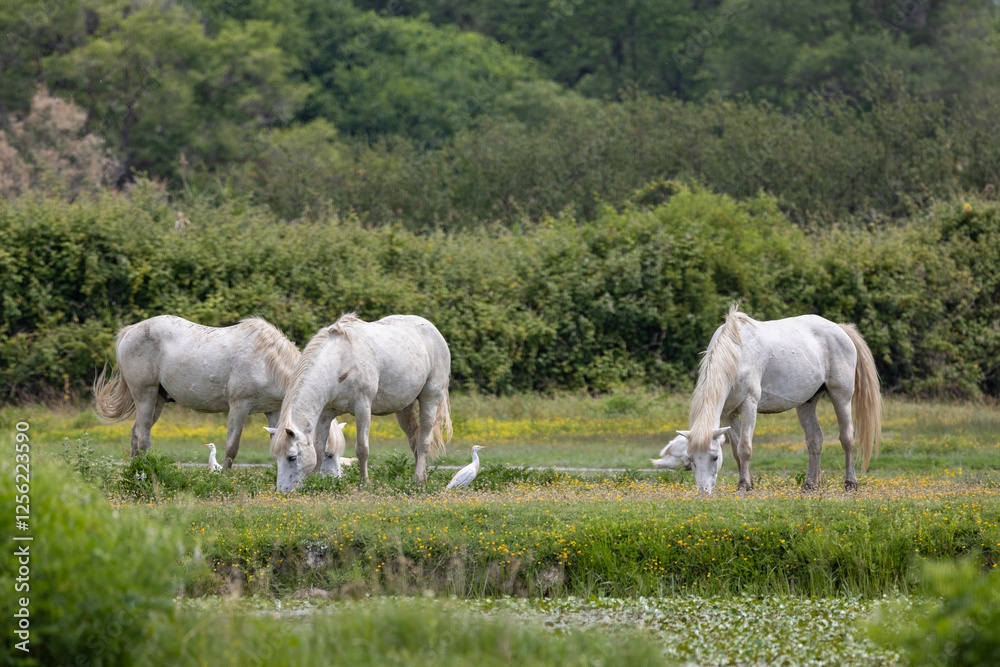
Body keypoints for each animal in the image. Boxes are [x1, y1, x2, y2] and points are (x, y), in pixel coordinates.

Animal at [93, 315, 300, 467]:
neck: (266, 361)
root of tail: (129, 331)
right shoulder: (240, 406)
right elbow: (231, 447)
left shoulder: (273, 410)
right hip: (145, 394)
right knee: (143, 438)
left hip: (157, 400)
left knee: (136, 433)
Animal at [267, 313, 452, 492]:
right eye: (276, 457)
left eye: (291, 457)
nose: (283, 491)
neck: (339, 360)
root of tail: (434, 331)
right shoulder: (326, 412)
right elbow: (319, 448)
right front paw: (315, 482)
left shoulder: (362, 407)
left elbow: (362, 449)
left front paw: (363, 485)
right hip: (404, 408)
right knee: (414, 441)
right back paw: (423, 477)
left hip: (430, 399)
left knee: (424, 442)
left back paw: (418, 481)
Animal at [684, 305, 882, 494]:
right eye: (691, 458)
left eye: (715, 457)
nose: (703, 491)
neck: (736, 355)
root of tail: (840, 329)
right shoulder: (728, 414)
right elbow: (735, 450)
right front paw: (748, 483)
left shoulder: (749, 405)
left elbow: (745, 448)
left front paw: (743, 486)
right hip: (806, 403)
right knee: (815, 440)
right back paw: (810, 485)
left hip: (841, 396)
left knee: (847, 438)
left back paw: (850, 484)